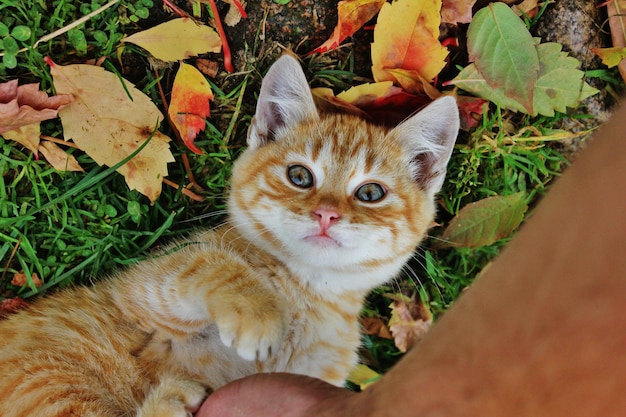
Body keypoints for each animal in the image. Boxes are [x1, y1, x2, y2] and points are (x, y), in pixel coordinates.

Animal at [0, 55, 458, 416]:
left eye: (370, 193)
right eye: (299, 176)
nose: (326, 214)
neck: (307, 292)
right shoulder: (139, 297)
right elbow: (206, 261)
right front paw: (255, 310)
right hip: (53, 373)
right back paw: (171, 398)